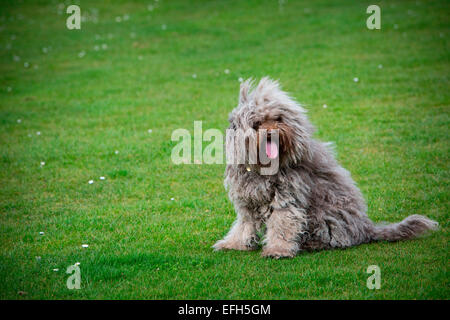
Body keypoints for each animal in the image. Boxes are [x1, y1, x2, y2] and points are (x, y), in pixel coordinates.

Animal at [213, 78, 438, 260]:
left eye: (278, 119)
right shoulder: (247, 202)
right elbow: (244, 225)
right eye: (257, 123)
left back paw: (312, 244)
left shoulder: (287, 199)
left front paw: (278, 250)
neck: (263, 169)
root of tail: (367, 228)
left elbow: (282, 225)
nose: (272, 133)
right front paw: (233, 244)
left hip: (324, 217)